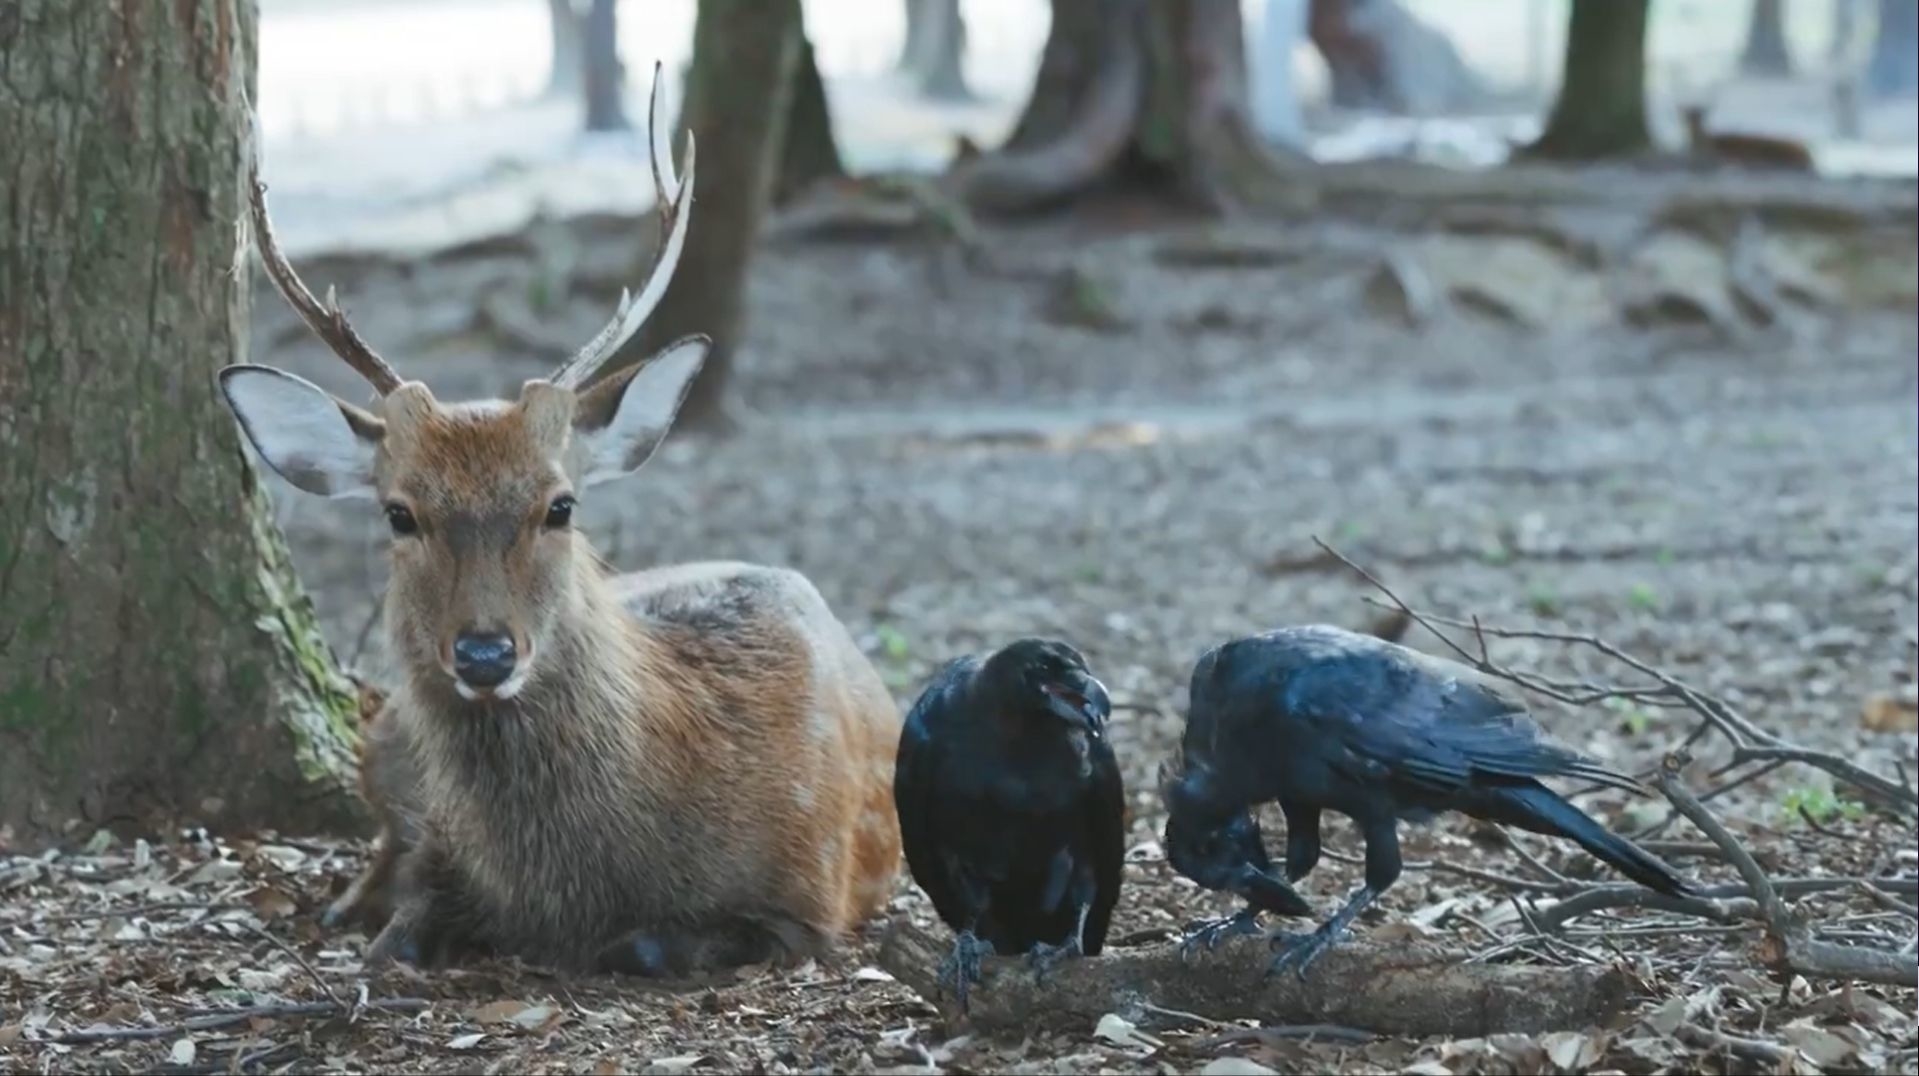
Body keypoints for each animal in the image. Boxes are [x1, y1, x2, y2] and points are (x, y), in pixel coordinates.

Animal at [218, 66, 904, 976]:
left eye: (560, 505)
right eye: (400, 513)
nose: (484, 653)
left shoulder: (811, 897)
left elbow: (648, 944)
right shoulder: (442, 847)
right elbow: (401, 930)